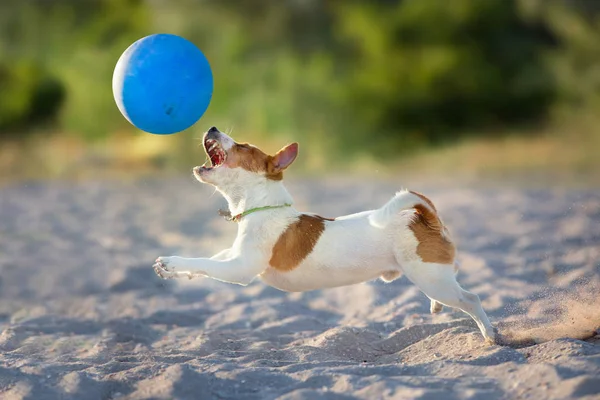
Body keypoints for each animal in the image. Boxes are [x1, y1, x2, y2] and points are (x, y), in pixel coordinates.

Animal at [155, 127, 496, 344]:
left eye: (242, 147)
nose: (212, 126)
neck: (261, 206)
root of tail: (425, 219)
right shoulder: (233, 256)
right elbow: (208, 261)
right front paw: (173, 271)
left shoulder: (240, 268)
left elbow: (205, 263)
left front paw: (173, 263)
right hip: (432, 275)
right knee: (454, 275)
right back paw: (437, 308)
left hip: (432, 278)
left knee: (471, 298)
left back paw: (490, 334)